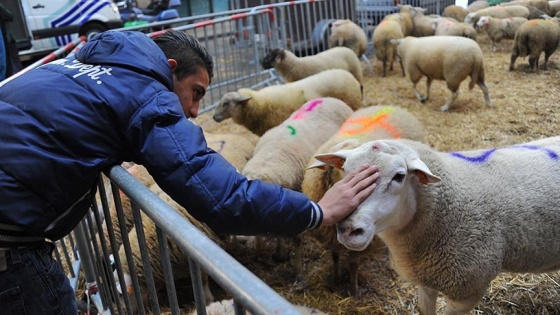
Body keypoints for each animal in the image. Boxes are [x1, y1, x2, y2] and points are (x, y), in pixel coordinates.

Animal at [242, 97, 354, 284]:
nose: (242, 240)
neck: (270, 158)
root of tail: (330, 98)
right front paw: (273, 253)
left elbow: (296, 239)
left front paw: (298, 273)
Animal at [302, 105, 424, 296]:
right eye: (342, 167)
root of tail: (395, 107)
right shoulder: (331, 238)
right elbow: (335, 256)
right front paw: (336, 279)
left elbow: (353, 264)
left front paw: (354, 289)